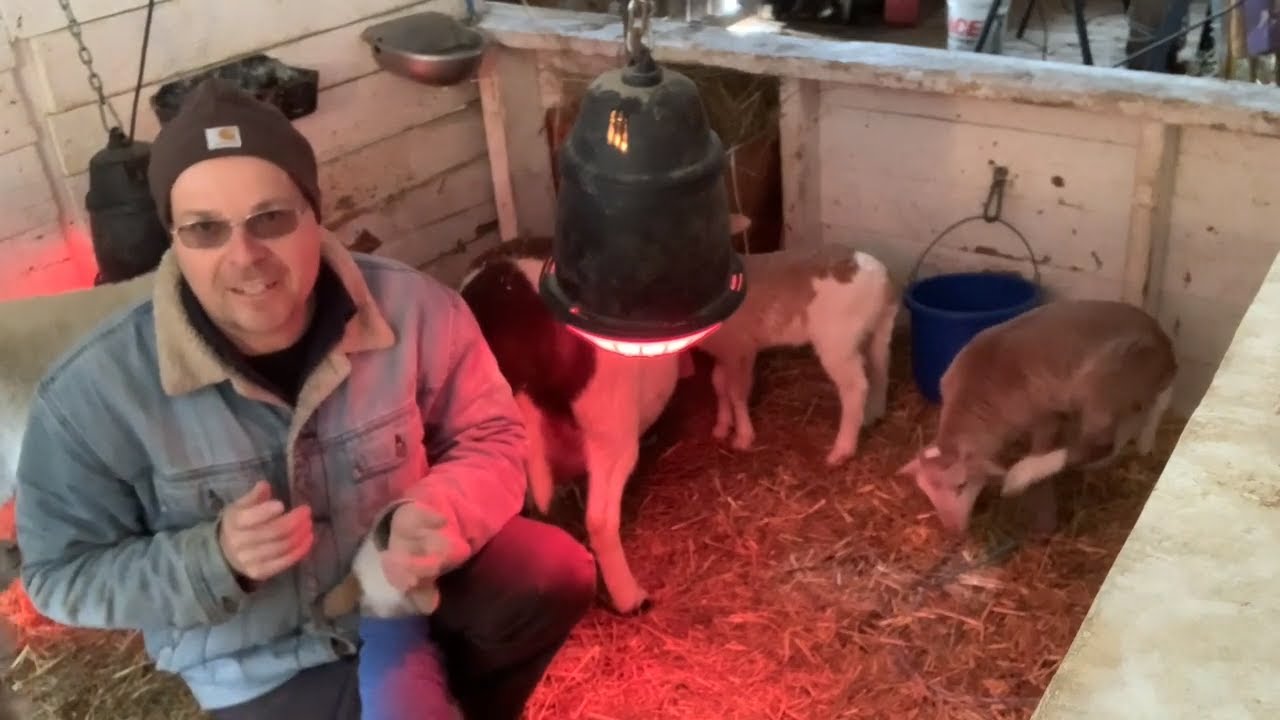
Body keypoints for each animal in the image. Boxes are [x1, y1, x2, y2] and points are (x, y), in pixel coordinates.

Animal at [693, 227, 899, 466]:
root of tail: (884, 279)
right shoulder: (723, 350)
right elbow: (718, 385)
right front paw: (721, 427)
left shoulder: (740, 348)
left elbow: (736, 392)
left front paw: (743, 437)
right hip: (879, 328)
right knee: (880, 370)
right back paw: (873, 414)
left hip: (838, 340)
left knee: (855, 388)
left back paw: (841, 450)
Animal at [894, 298, 1178, 535]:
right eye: (928, 494)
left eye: (961, 485)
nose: (953, 531)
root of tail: (1168, 352)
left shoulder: (1044, 415)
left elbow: (1042, 447)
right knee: (1146, 415)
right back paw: (1143, 445)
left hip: (1105, 380)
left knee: (1098, 445)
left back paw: (1021, 475)